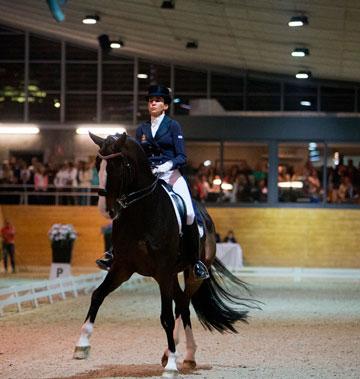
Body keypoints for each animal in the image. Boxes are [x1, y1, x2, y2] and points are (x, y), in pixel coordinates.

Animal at [74, 133, 258, 378]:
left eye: (117, 165)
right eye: (97, 164)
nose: (106, 209)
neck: (142, 213)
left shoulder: (162, 271)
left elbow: (167, 318)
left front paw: (171, 365)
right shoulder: (122, 268)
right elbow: (97, 295)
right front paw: (82, 345)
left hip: (191, 274)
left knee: (182, 305)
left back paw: (180, 355)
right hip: (171, 275)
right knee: (181, 303)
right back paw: (182, 355)